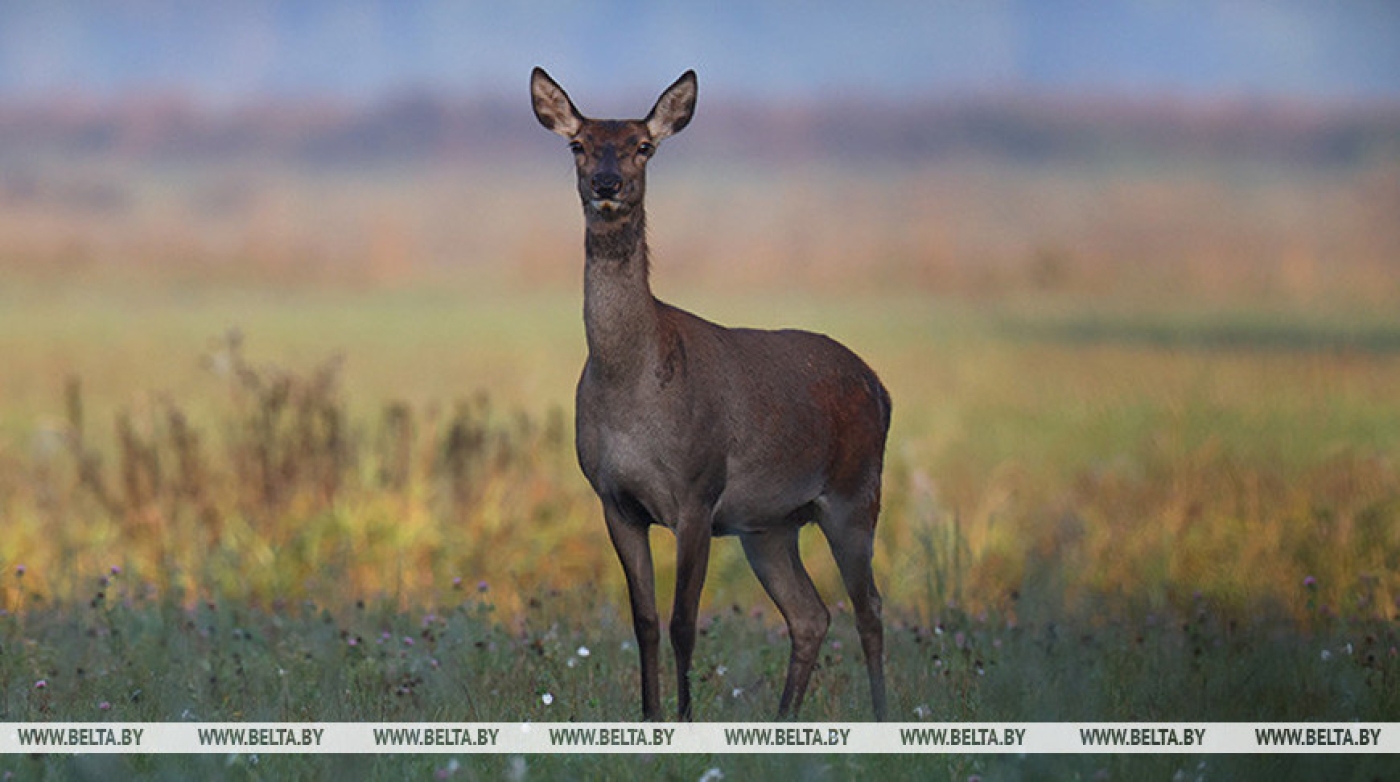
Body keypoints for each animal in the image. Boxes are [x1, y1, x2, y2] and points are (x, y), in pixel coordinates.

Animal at [529, 67, 890, 721]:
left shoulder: (698, 491)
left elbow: (683, 623)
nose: (607, 183)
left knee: (869, 608)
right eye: (578, 145)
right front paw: (650, 717)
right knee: (810, 615)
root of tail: (882, 388)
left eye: (644, 145)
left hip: (856, 492)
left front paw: (685, 719)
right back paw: (783, 719)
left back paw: (879, 714)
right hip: (769, 525)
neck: (630, 385)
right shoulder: (615, 501)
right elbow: (645, 622)